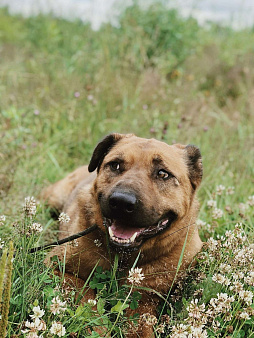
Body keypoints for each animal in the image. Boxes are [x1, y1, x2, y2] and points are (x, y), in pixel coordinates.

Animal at [42, 133, 204, 336]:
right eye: (115, 165)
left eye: (163, 173)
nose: (121, 202)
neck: (124, 258)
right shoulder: (59, 266)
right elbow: (86, 297)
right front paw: (97, 329)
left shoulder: (145, 297)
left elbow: (140, 326)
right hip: (53, 199)